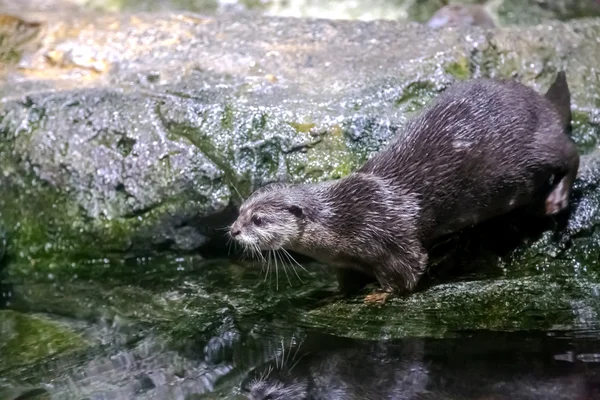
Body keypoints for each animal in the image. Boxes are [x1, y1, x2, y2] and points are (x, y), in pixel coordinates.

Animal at [229, 72, 576, 304]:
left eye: (258, 219)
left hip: (537, 150)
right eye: (239, 211)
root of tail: (542, 104)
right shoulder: (347, 261)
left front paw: (380, 295)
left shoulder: (387, 234)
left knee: (572, 153)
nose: (233, 230)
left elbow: (409, 270)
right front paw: (335, 295)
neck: (341, 219)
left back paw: (556, 199)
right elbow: (347, 281)